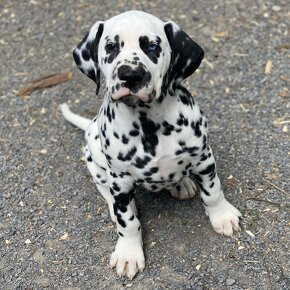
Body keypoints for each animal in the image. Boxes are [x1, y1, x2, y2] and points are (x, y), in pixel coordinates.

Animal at [60, 10, 240, 278]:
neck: (149, 123)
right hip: (94, 156)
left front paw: (222, 216)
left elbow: (213, 191)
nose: (130, 75)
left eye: (152, 47)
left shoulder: (204, 158)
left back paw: (183, 184)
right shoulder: (120, 180)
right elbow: (128, 222)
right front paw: (129, 253)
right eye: (111, 47)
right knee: (104, 189)